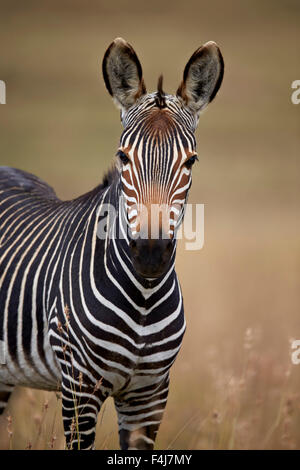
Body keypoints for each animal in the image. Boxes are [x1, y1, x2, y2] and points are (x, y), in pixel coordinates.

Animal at [0, 38, 223, 450]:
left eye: (191, 162)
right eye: (123, 156)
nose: (151, 253)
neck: (144, 298)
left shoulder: (150, 395)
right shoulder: (79, 389)